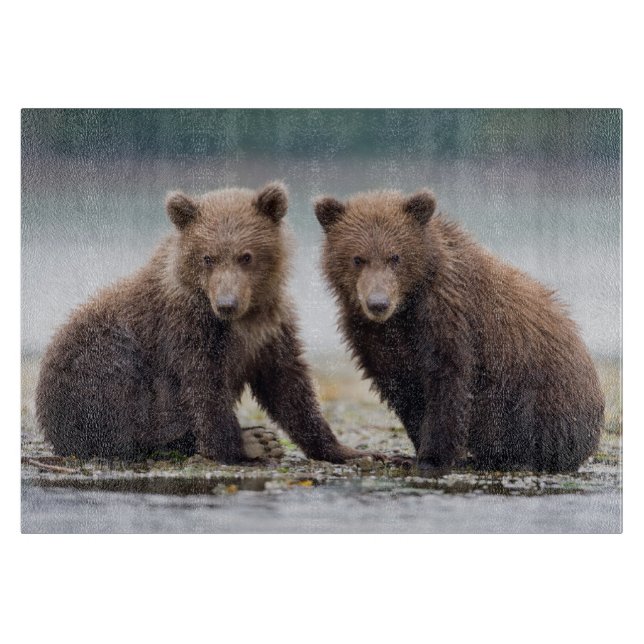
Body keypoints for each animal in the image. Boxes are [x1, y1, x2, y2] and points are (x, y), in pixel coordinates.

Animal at [36, 182, 370, 464]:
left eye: (246, 256)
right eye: (208, 257)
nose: (226, 303)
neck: (242, 319)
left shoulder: (270, 327)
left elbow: (288, 385)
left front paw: (346, 449)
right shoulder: (188, 327)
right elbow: (204, 386)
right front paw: (244, 444)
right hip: (96, 362)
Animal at [314, 188, 604, 473]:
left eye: (395, 257)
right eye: (357, 258)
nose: (378, 303)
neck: (405, 309)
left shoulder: (448, 319)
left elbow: (447, 385)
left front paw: (432, 457)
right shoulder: (371, 337)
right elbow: (403, 389)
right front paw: (411, 453)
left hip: (539, 390)